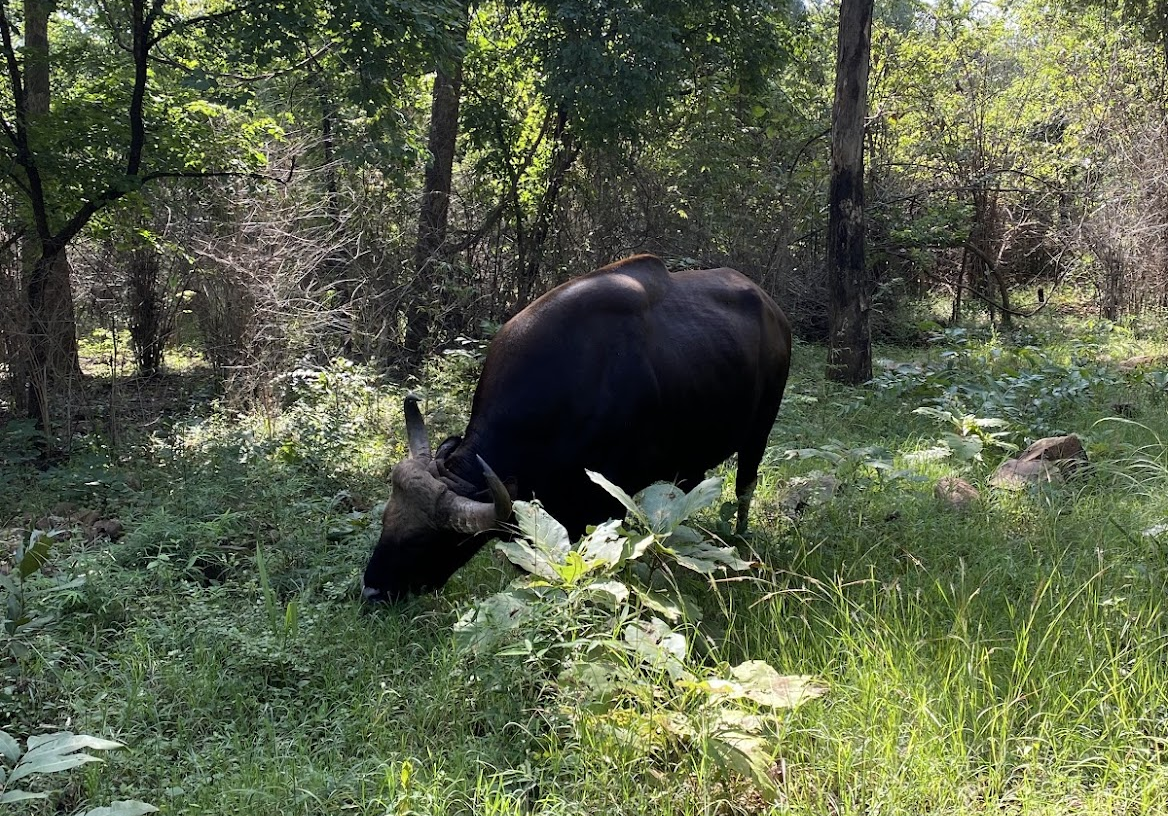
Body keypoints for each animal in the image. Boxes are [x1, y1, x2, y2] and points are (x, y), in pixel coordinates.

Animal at [359, 253, 789, 602]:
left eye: (421, 540)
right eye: (385, 521)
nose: (372, 592)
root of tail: (773, 310)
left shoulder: (606, 500)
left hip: (759, 431)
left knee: (745, 485)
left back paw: (740, 538)